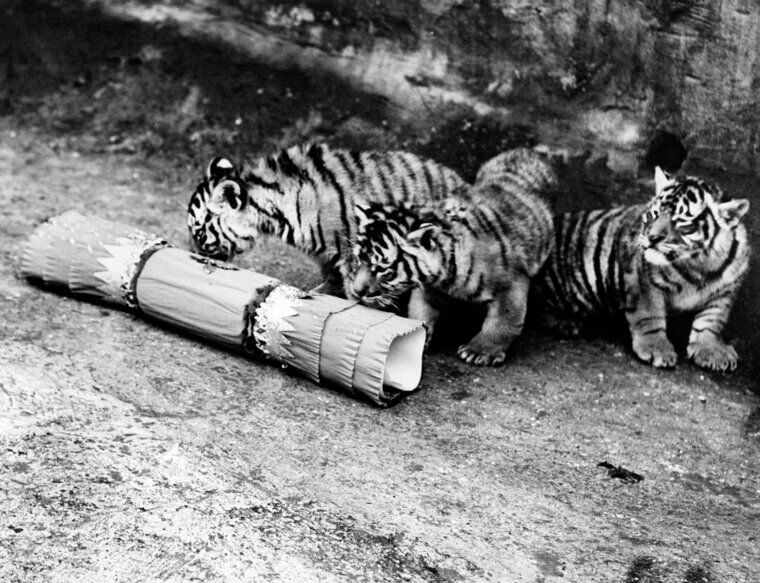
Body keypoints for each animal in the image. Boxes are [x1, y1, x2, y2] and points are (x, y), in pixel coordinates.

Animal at [347, 148, 557, 366]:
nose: (357, 292)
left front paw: (479, 352)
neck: (444, 274)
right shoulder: (427, 290)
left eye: (384, 271)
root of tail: (529, 151)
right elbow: (419, 313)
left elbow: (503, 322)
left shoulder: (511, 284)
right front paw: (418, 341)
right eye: (357, 261)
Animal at [531, 167, 751, 371]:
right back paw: (566, 323)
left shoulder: (725, 292)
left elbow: (712, 321)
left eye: (681, 223)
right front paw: (656, 349)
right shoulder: (643, 283)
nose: (652, 237)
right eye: (654, 214)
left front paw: (712, 350)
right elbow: (650, 316)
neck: (700, 266)